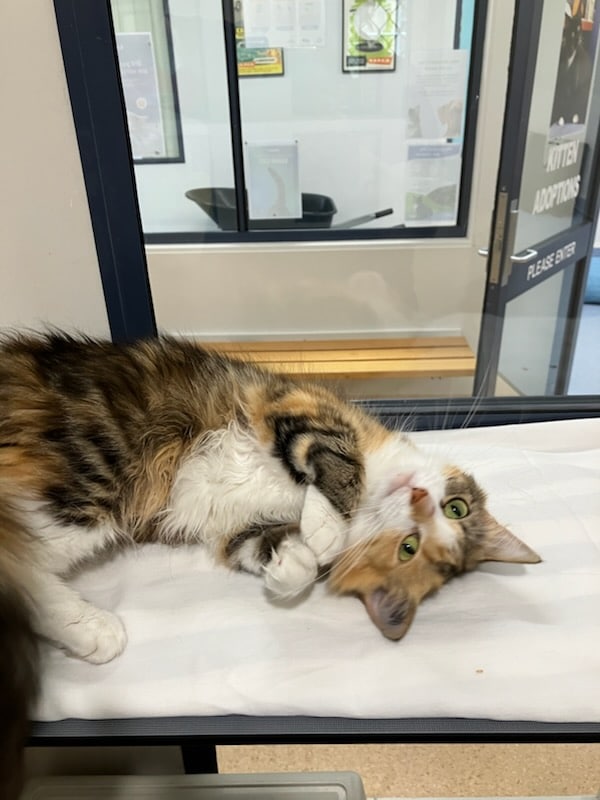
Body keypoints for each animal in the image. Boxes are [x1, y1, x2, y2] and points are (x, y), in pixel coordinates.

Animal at [0, 332, 540, 795]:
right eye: (456, 509)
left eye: (410, 547)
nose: (421, 500)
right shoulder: (300, 406)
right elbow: (339, 461)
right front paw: (326, 527)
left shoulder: (237, 530)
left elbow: (278, 553)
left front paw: (291, 567)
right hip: (97, 469)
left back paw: (89, 629)